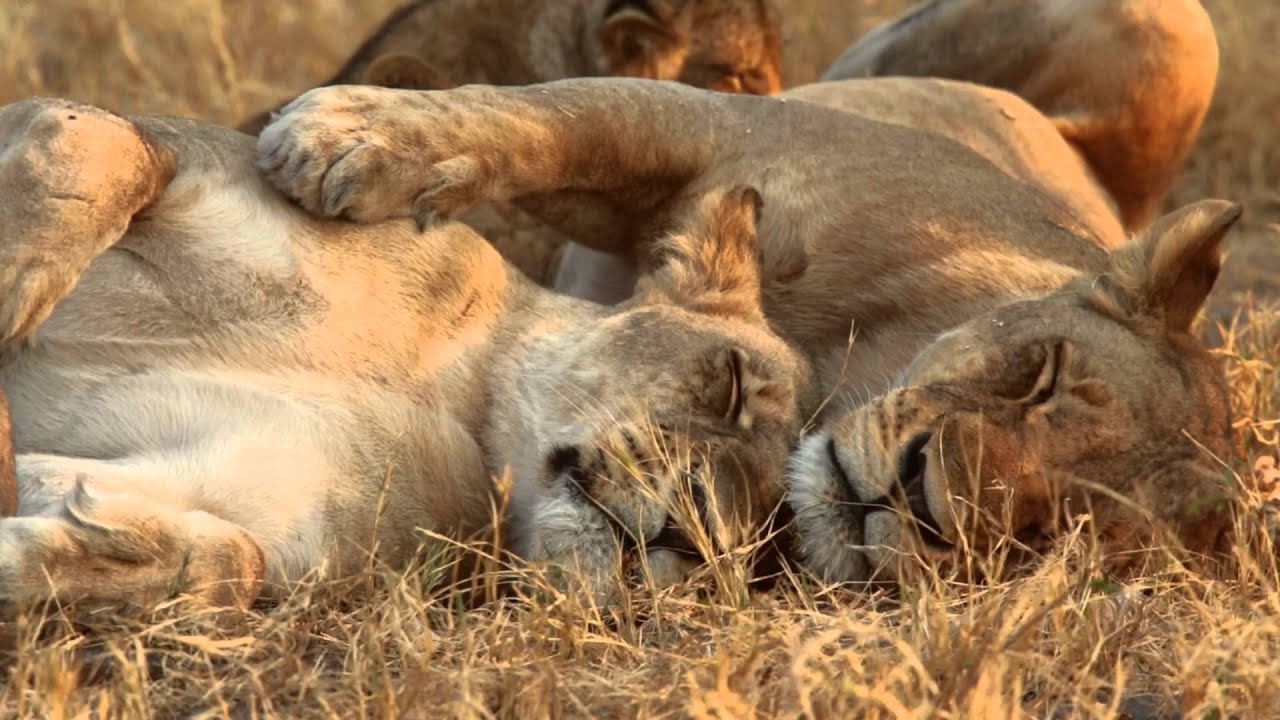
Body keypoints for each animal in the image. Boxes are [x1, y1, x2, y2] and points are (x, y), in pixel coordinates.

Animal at [0, 98, 809, 609]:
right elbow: (100, 147)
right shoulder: (181, 152)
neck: (452, 394)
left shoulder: (283, 520)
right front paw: (16, 287)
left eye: (760, 548)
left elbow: (231, 566)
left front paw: (48, 560)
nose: (696, 538)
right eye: (732, 382)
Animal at [255, 10, 1239, 585]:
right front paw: (354, 134)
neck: (839, 371)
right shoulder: (728, 128)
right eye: (1044, 374)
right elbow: (549, 117)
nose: (923, 497)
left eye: (1052, 531)